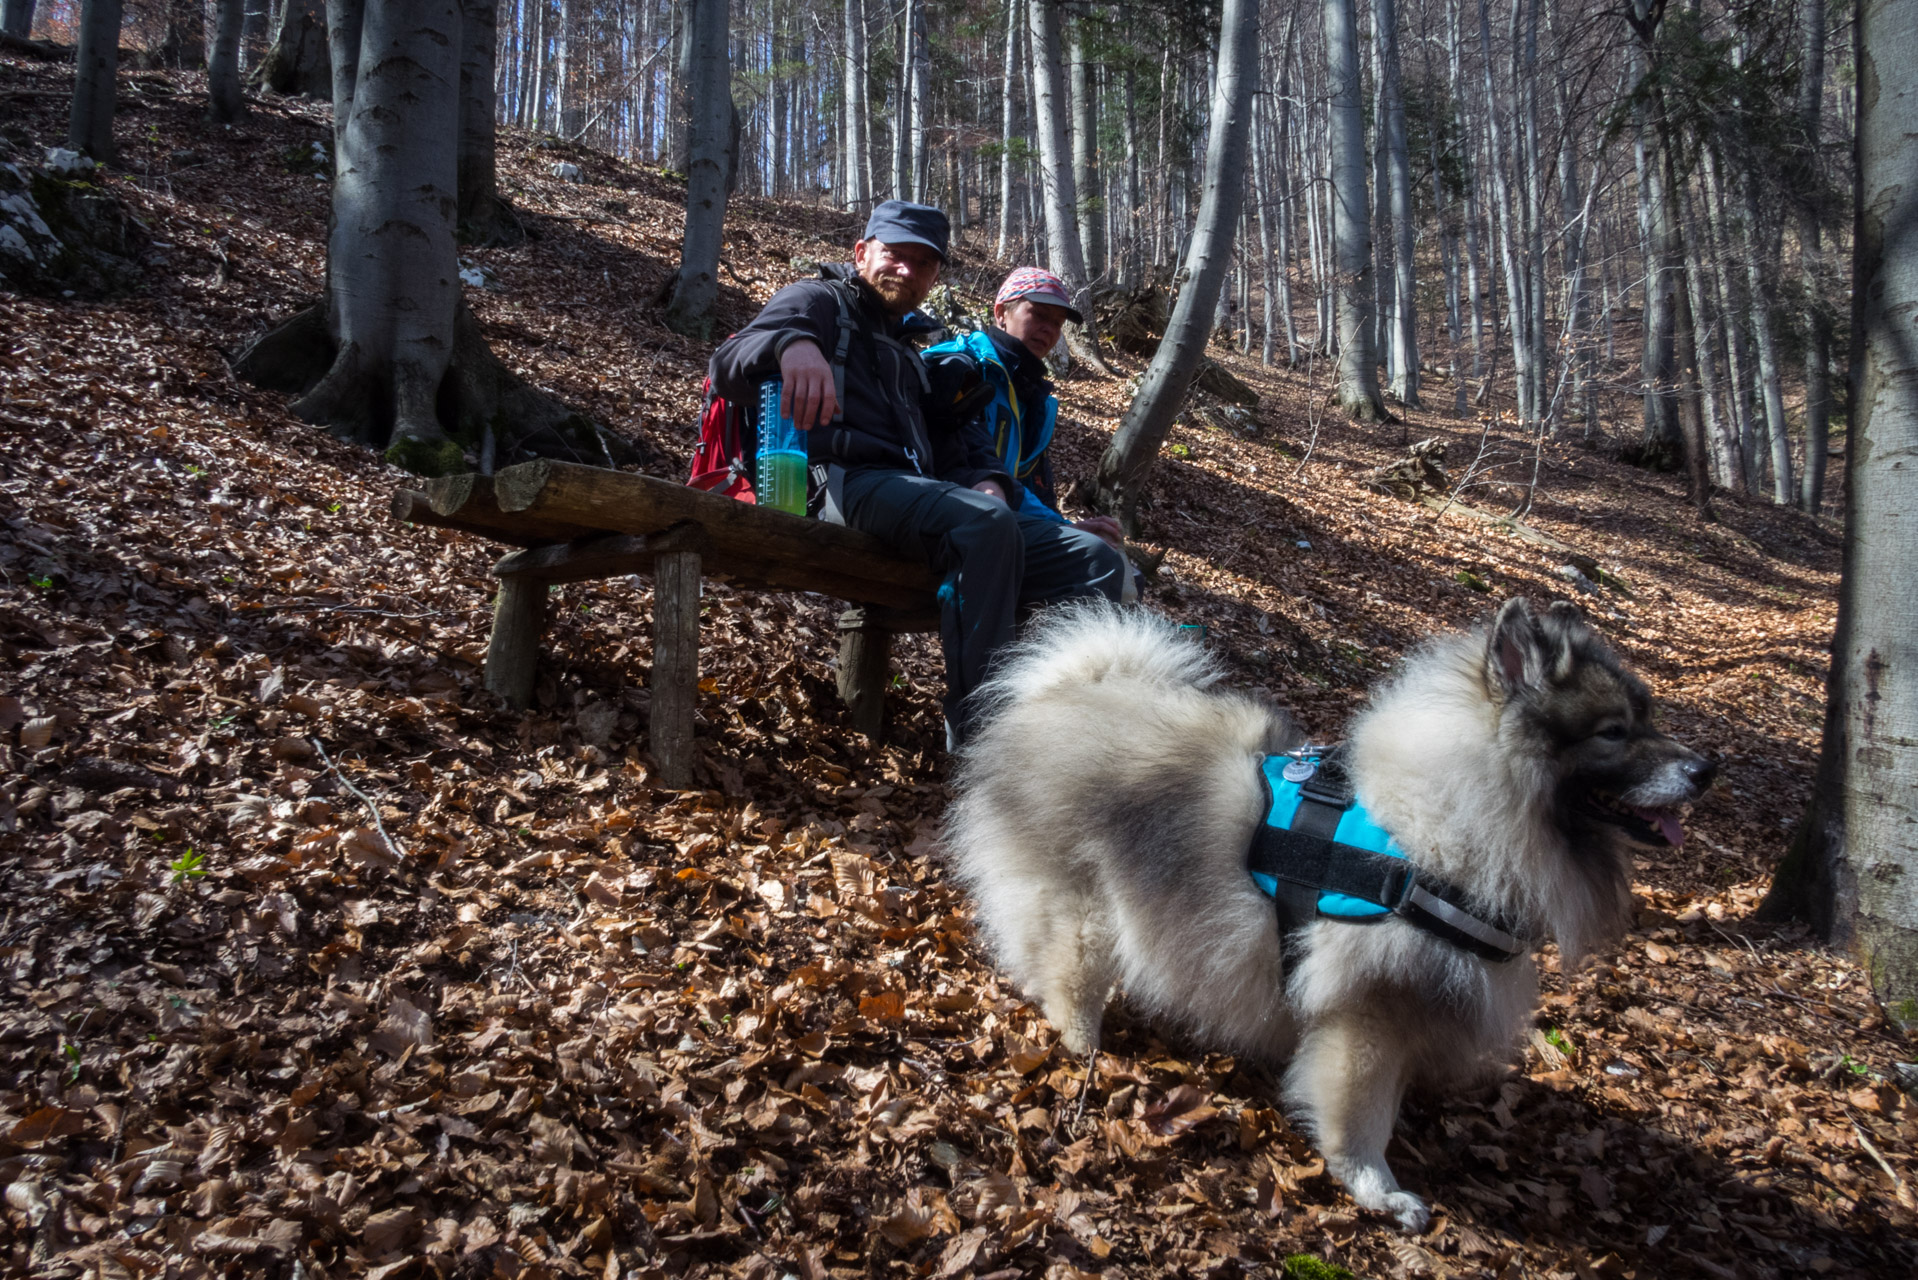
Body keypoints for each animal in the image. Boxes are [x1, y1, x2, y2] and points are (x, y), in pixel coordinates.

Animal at [943, 602, 1710, 1228]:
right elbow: (1361, 1115)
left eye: (1647, 718)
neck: (1441, 837)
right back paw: (1085, 1046)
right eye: (1613, 732)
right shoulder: (1368, 1014)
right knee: (1066, 976)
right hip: (1086, 910)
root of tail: (1061, 692)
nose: (1707, 770)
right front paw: (1376, 1189)